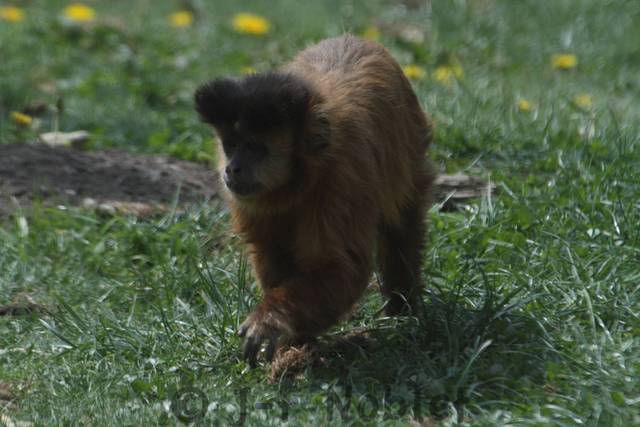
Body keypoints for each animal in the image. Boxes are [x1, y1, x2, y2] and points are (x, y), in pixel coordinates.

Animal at [195, 35, 435, 367]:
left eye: (255, 147)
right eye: (230, 145)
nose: (232, 168)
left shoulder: (343, 178)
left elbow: (342, 267)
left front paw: (271, 321)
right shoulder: (249, 201)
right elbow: (271, 253)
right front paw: (296, 342)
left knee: (402, 220)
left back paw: (403, 310)